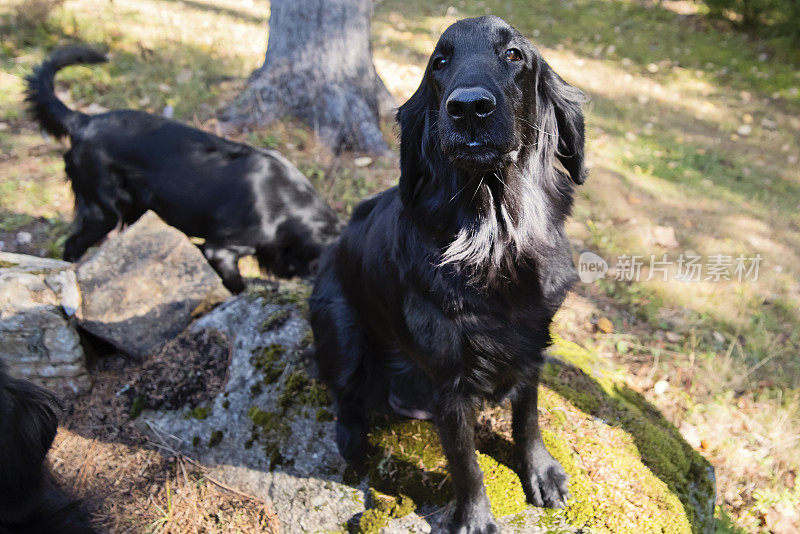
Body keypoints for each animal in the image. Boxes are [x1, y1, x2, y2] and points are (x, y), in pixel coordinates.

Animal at [25, 47, 340, 294]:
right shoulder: (219, 250)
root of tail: (84, 120)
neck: (288, 205)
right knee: (72, 244)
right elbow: (236, 284)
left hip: (136, 211)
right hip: (102, 212)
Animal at [312, 16, 588, 534]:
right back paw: (353, 442)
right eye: (439, 62)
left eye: (514, 55)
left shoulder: (532, 346)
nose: (468, 108)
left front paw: (540, 471)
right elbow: (465, 462)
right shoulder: (449, 382)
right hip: (340, 324)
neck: (495, 240)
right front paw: (475, 517)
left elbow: (528, 416)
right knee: (345, 393)